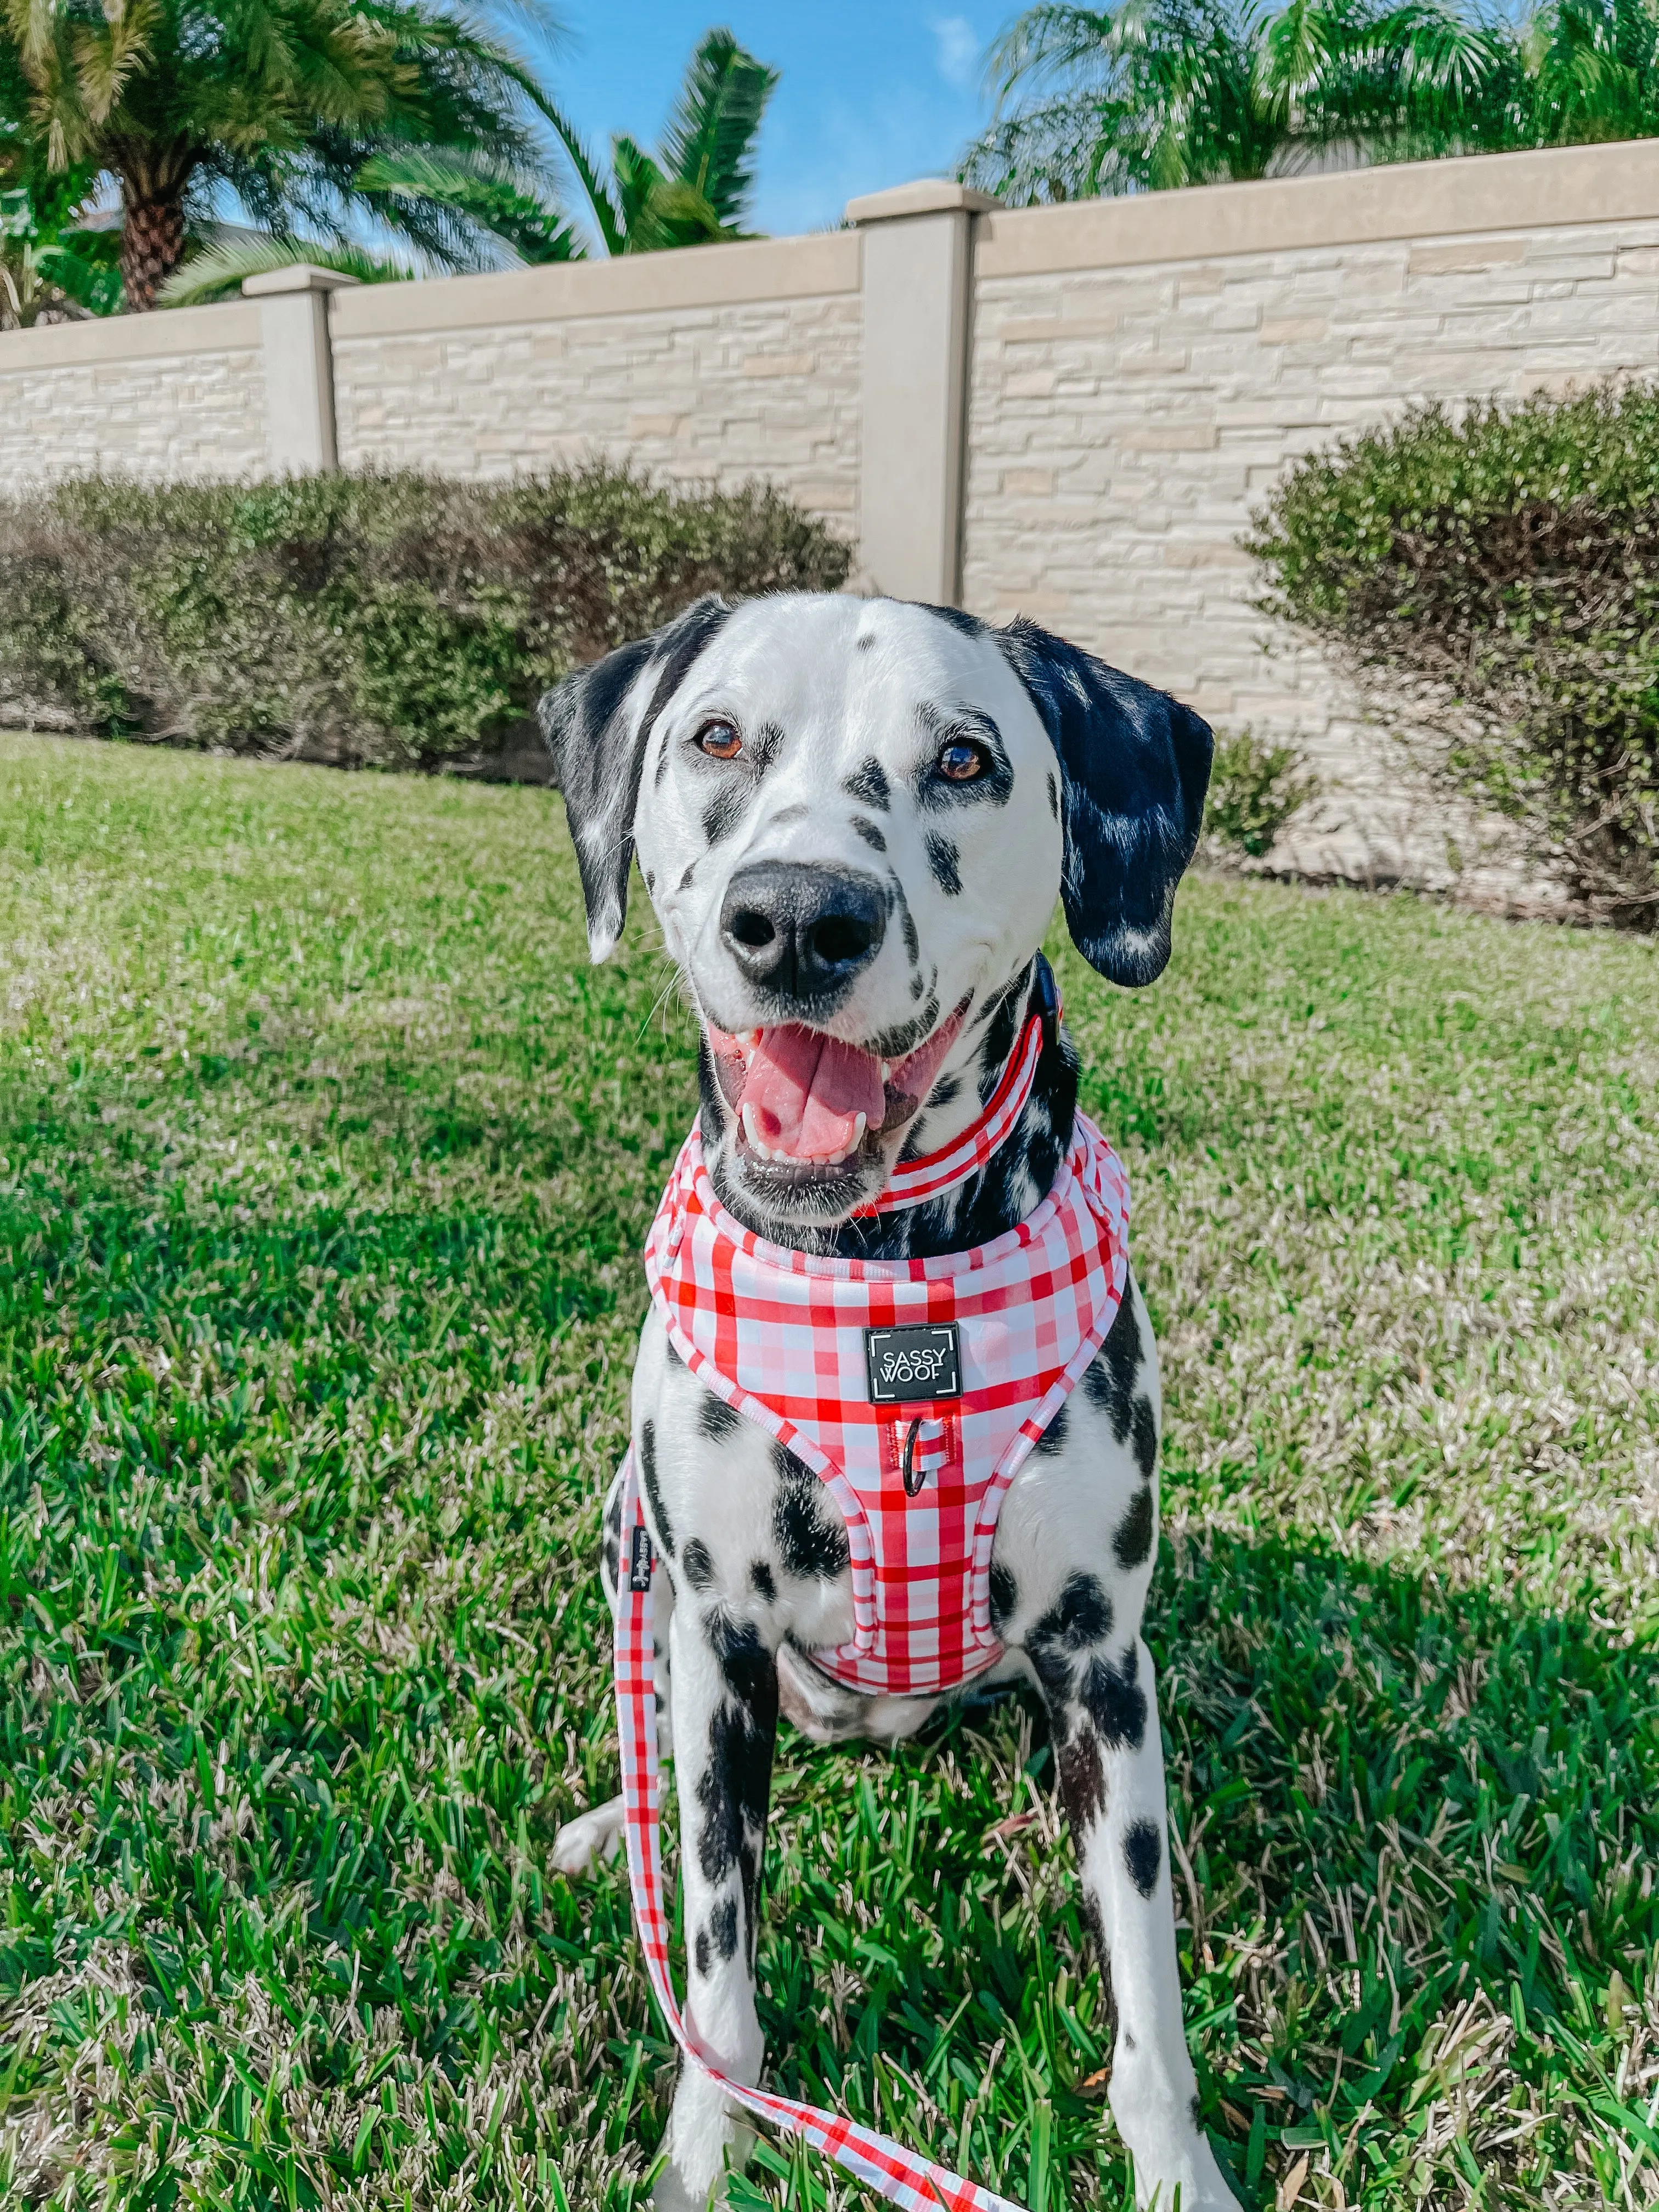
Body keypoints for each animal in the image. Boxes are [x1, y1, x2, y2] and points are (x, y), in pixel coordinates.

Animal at [546, 597, 1238, 2212]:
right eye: (716, 736)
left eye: (967, 759)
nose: (802, 916)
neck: (883, 1278)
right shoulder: (721, 1638)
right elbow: (718, 1963)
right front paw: (706, 2149)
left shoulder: (1102, 1666)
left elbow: (1147, 1988)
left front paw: (1179, 2169)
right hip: (629, 1545)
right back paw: (616, 1821)